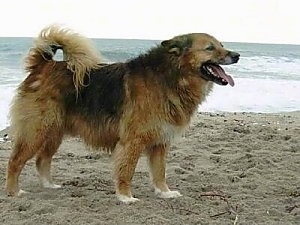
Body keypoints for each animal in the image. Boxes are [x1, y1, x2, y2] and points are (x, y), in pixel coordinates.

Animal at [5, 25, 239, 203]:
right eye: (210, 48)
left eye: (221, 45)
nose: (237, 55)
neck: (170, 77)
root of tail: (42, 65)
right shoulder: (133, 141)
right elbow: (127, 171)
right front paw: (126, 197)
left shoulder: (160, 142)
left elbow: (160, 172)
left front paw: (164, 192)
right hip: (37, 131)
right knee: (15, 161)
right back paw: (13, 191)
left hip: (53, 132)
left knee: (41, 160)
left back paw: (49, 185)